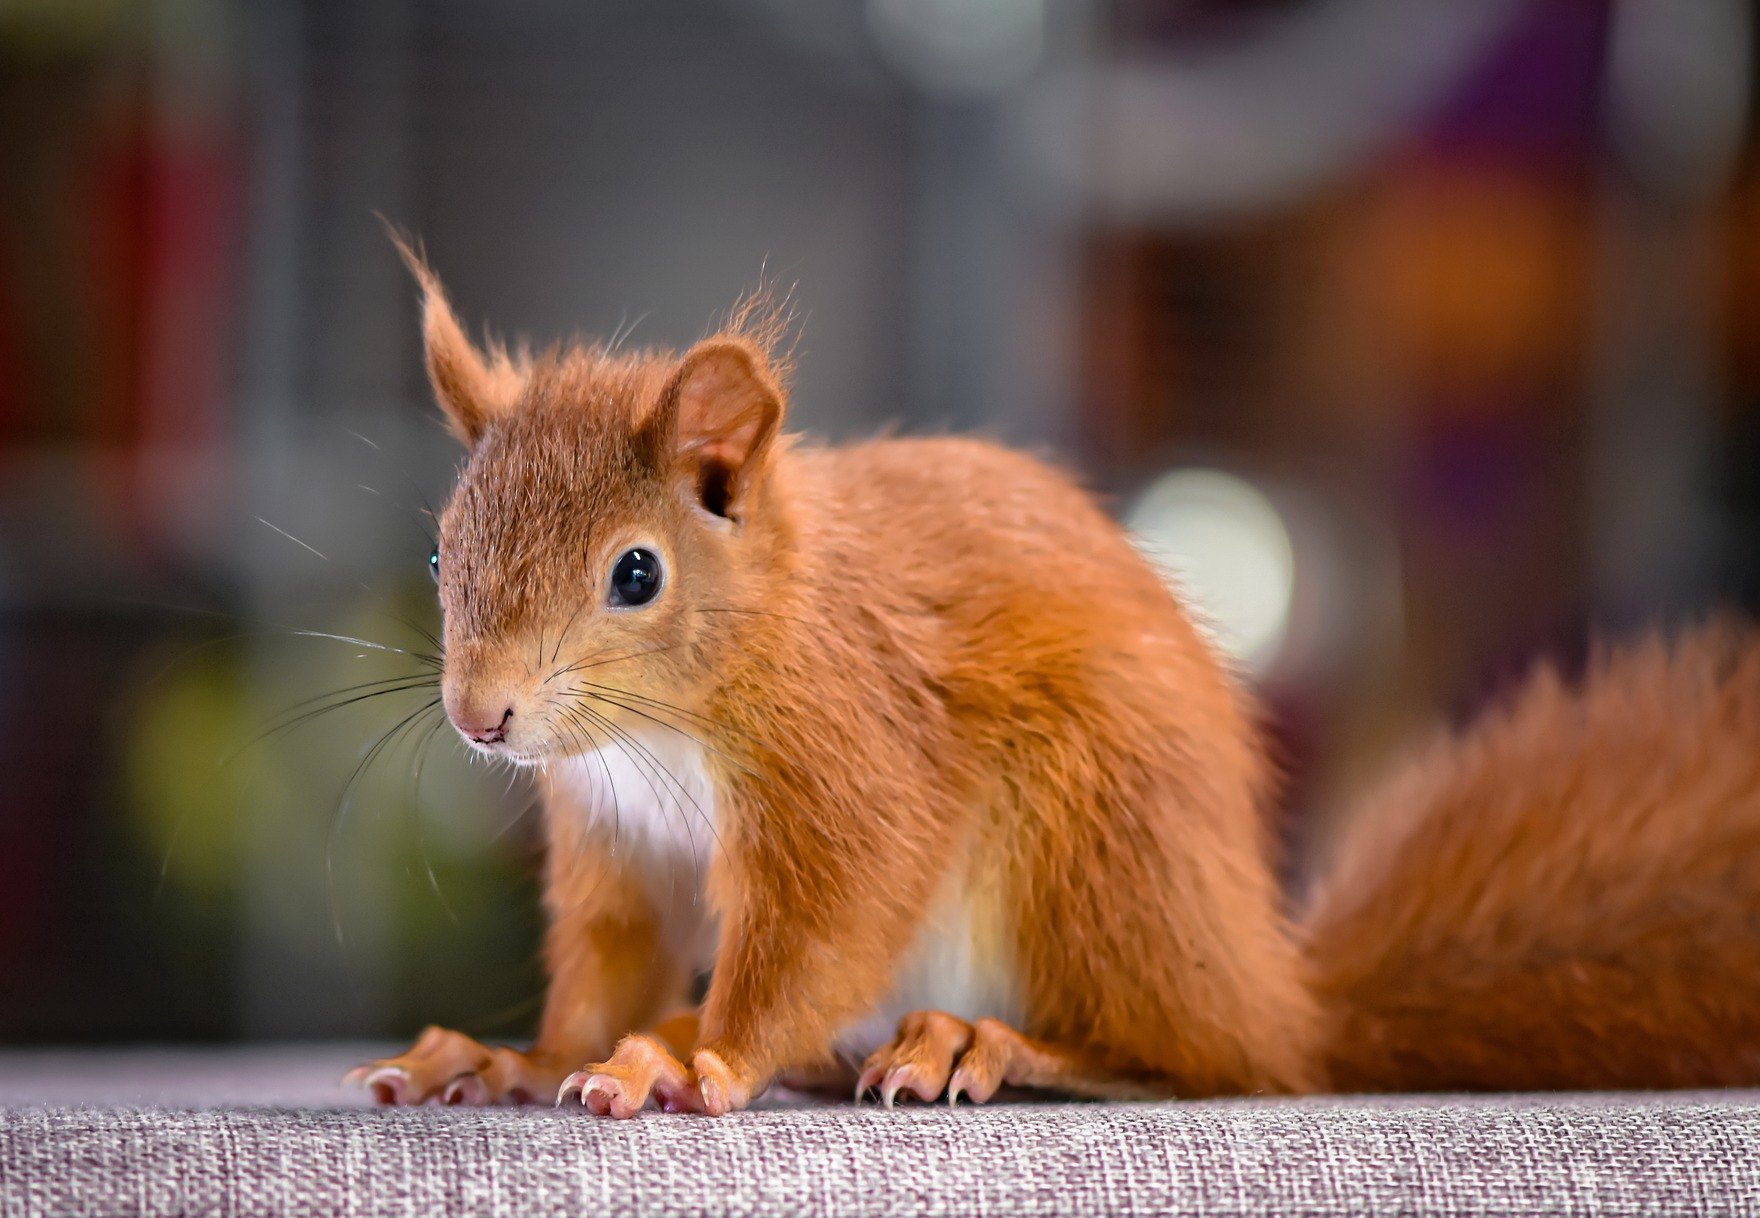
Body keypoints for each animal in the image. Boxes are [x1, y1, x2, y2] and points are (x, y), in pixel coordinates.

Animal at [346, 251, 1760, 1119]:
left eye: (635, 573)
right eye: (441, 550)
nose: (481, 717)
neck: (669, 723)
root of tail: (1276, 993)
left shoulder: (854, 751)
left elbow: (818, 930)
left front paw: (700, 1058)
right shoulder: (617, 836)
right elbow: (606, 961)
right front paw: (520, 1057)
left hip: (1092, 844)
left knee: (1191, 1063)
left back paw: (981, 1042)